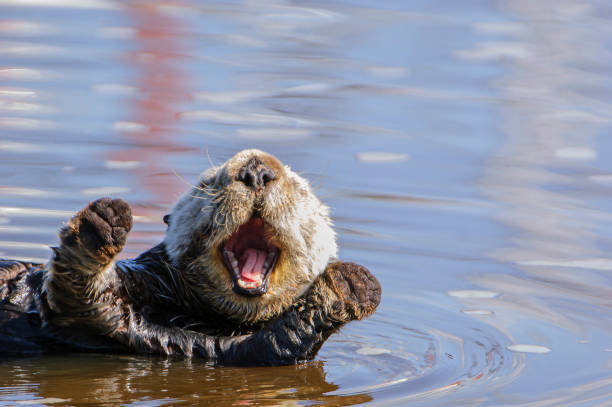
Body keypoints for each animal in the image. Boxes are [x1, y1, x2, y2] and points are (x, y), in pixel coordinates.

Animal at [0, 150, 380, 366]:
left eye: (301, 189)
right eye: (208, 182)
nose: (256, 171)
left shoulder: (207, 348)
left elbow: (275, 344)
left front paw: (349, 286)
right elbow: (76, 291)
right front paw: (103, 222)